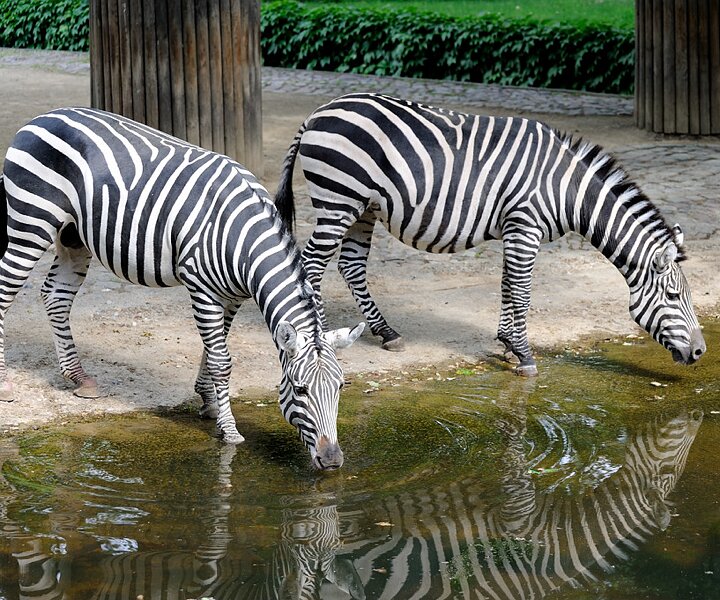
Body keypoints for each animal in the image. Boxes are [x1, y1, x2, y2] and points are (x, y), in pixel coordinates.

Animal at [0, 107, 364, 468]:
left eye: (341, 387)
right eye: (301, 390)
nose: (332, 461)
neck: (244, 241)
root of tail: (44, 116)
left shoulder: (232, 296)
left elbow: (213, 350)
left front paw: (209, 401)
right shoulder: (201, 287)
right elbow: (221, 360)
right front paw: (229, 430)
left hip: (72, 235)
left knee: (55, 296)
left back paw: (79, 378)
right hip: (30, 224)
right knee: (6, 291)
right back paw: (4, 384)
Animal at [274, 93, 706, 375]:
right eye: (673, 296)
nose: (701, 351)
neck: (567, 189)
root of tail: (319, 112)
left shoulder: (514, 228)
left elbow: (506, 285)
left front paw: (506, 343)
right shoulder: (525, 225)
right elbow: (522, 290)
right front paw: (525, 355)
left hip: (363, 208)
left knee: (351, 266)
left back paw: (387, 333)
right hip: (338, 201)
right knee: (312, 263)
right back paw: (320, 338)